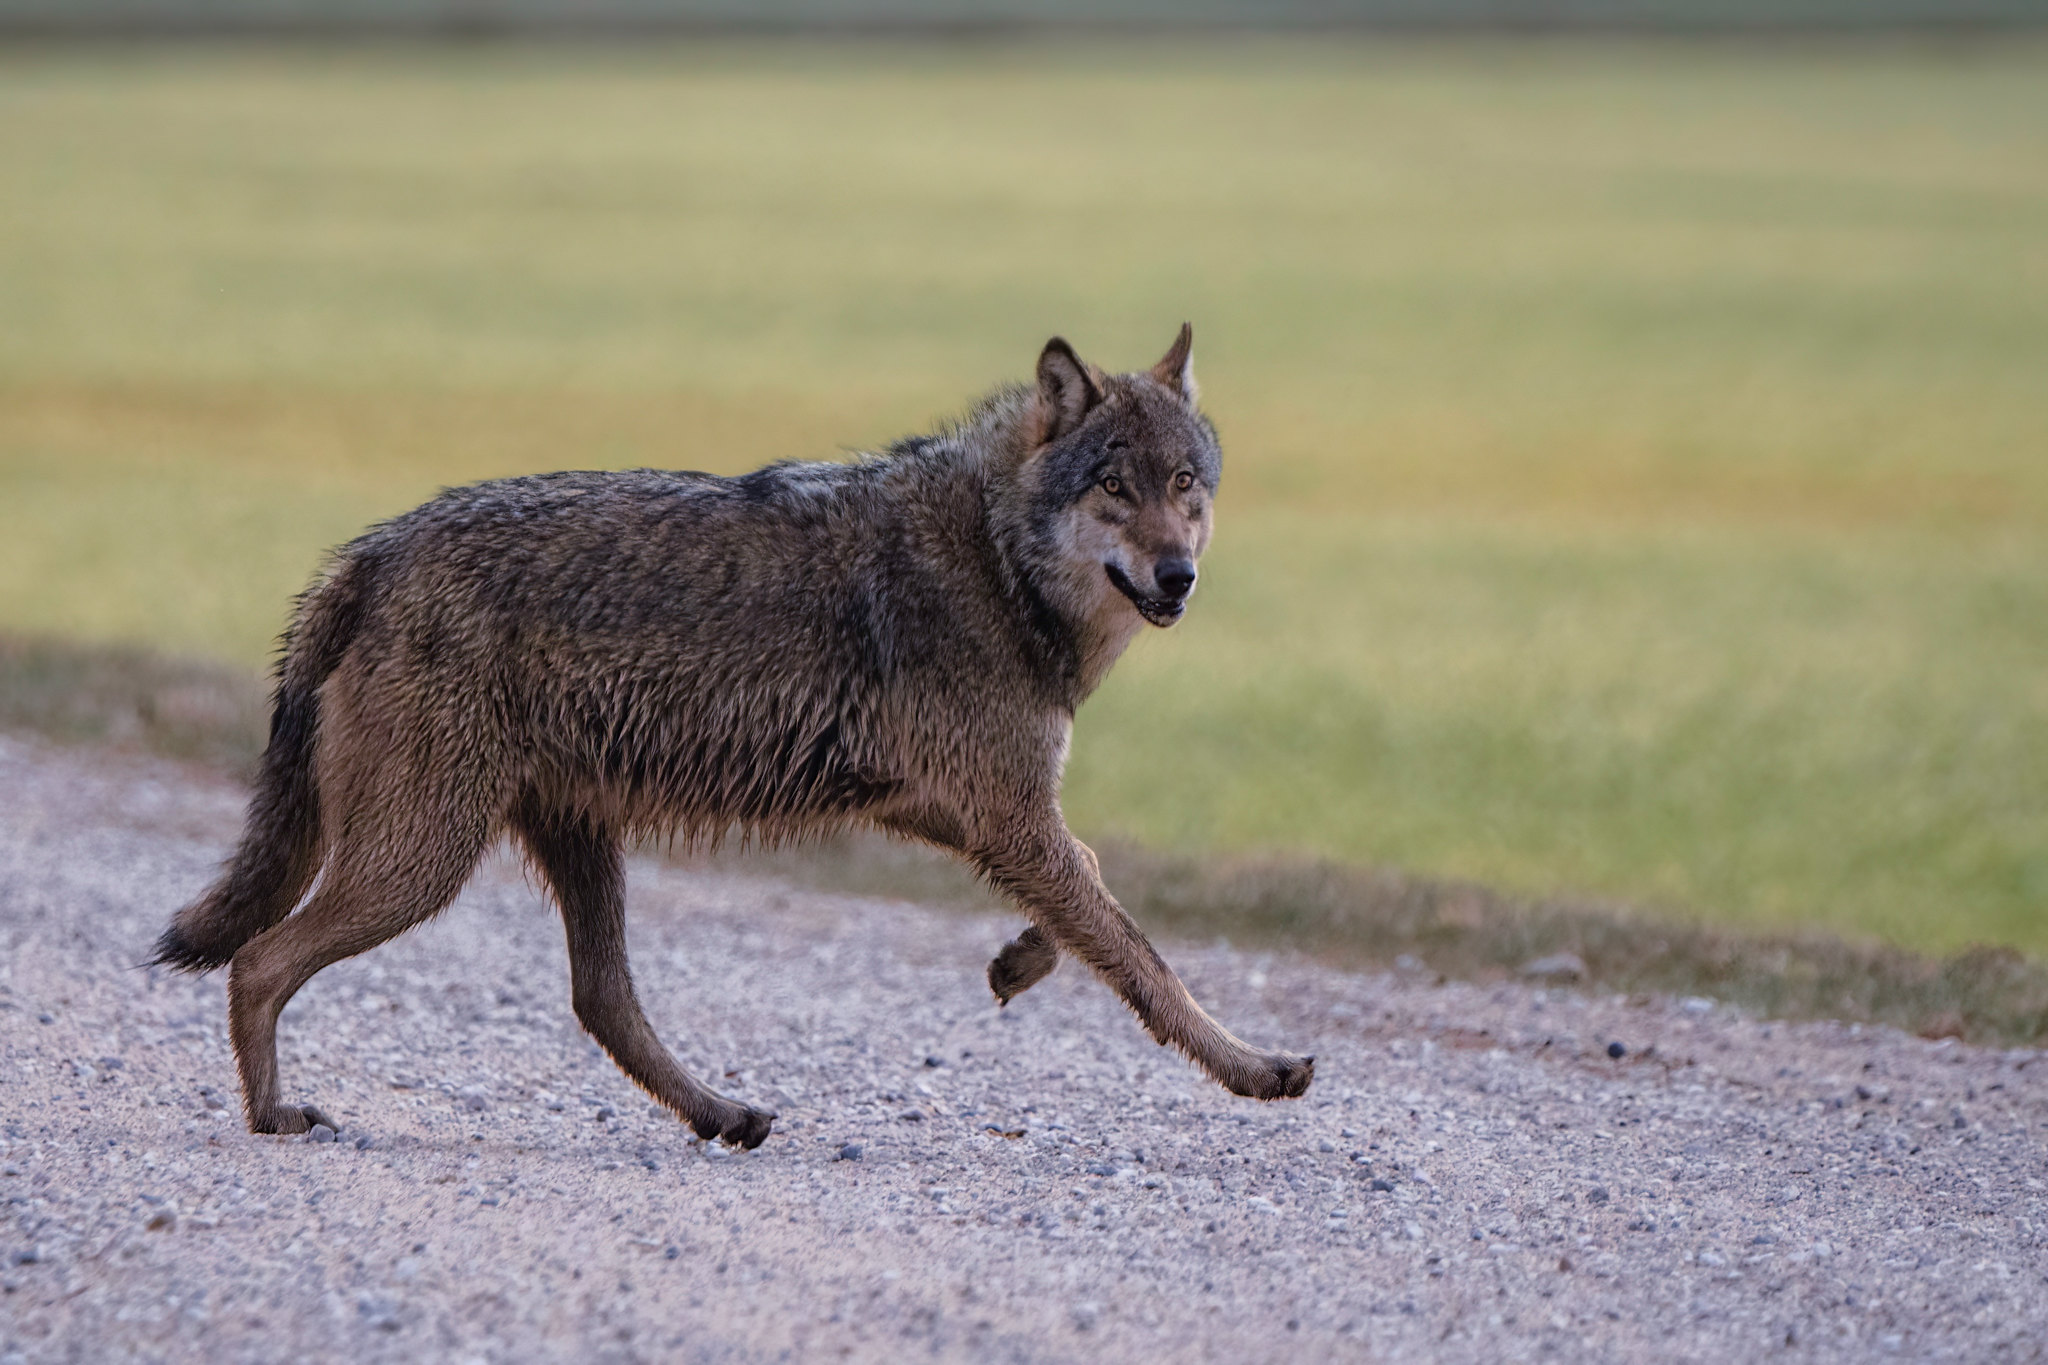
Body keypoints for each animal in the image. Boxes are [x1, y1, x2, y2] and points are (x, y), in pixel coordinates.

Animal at [151, 325, 1318, 1146]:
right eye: (1114, 487)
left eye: (1185, 487)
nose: (1179, 576)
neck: (995, 557)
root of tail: (367, 553)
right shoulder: (1003, 813)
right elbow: (1141, 957)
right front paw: (1254, 1068)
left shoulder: (991, 816)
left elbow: (1100, 906)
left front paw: (1018, 960)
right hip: (421, 864)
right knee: (257, 961)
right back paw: (273, 1117)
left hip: (565, 847)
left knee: (599, 1000)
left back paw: (720, 1114)